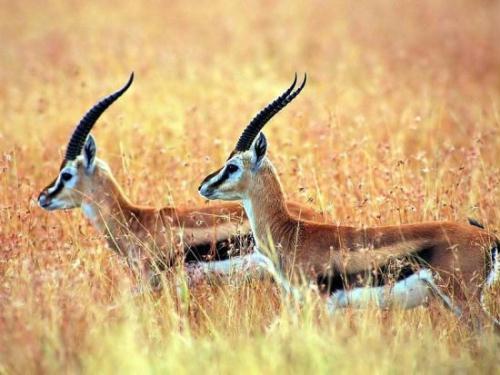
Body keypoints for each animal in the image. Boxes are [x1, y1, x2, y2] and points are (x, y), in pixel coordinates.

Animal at [199, 74, 500, 328]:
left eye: (233, 166)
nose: (203, 186)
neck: (292, 232)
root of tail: (489, 239)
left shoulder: (318, 303)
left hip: (463, 299)